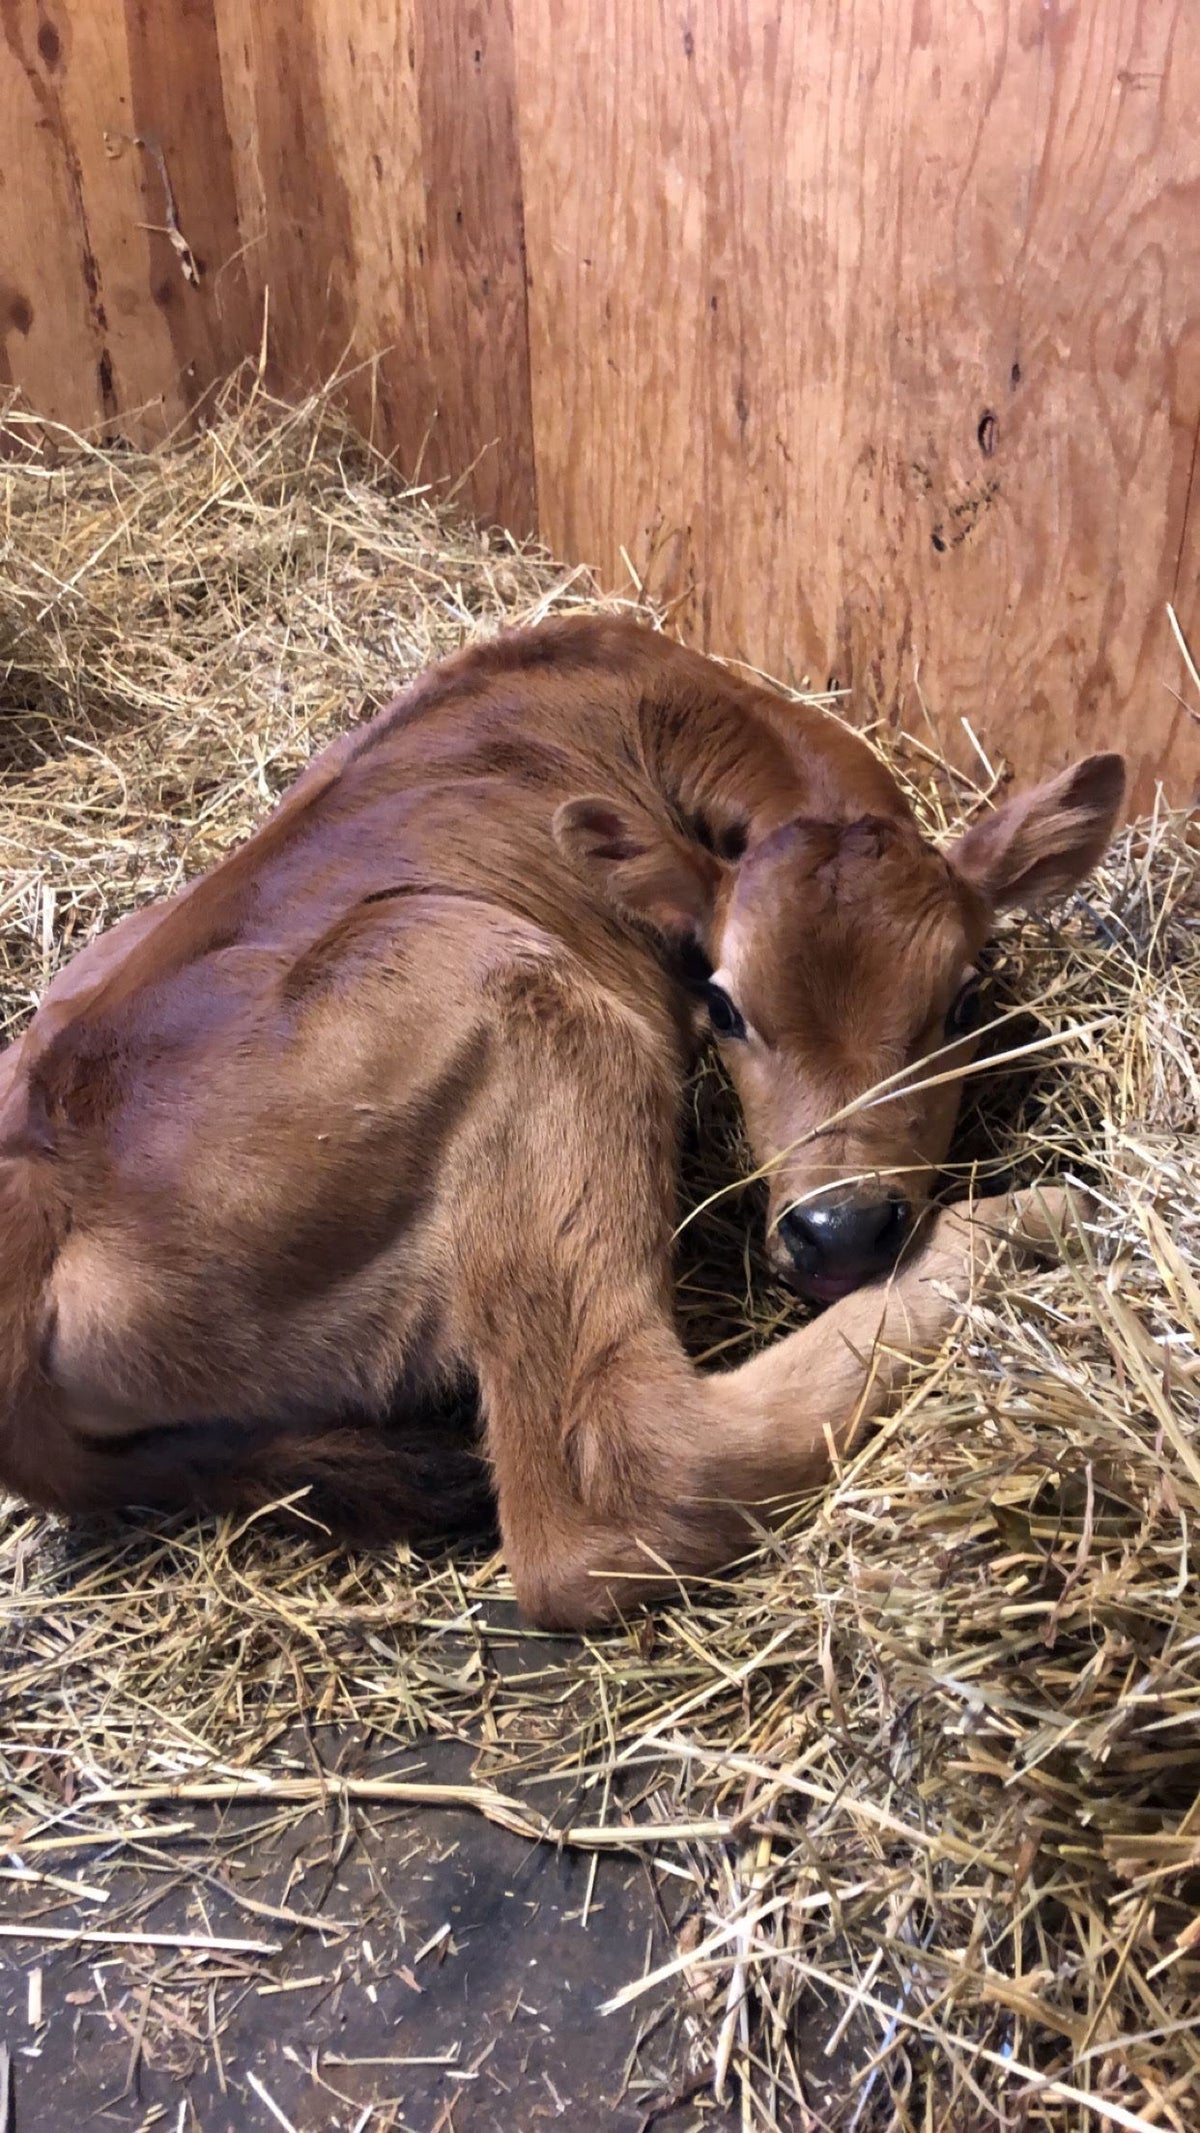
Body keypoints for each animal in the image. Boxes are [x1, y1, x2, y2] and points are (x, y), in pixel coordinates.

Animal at [0, 618, 1124, 1627]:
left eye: (964, 1003)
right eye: (722, 1005)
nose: (840, 1232)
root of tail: (36, 1217)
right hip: (505, 980)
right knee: (609, 1505)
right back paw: (1022, 1223)